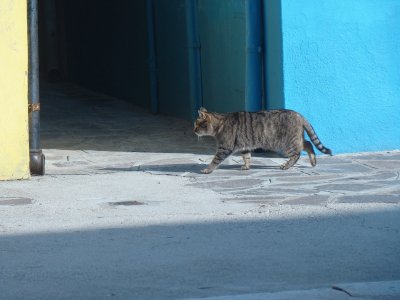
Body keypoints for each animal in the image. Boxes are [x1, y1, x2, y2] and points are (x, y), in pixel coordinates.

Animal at [194, 107, 332, 173]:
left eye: (197, 124)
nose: (193, 130)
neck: (220, 123)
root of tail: (300, 115)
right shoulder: (244, 146)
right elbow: (247, 157)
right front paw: (246, 166)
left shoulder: (224, 148)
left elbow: (215, 160)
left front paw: (208, 169)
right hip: (296, 139)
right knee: (308, 144)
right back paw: (313, 161)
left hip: (287, 143)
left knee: (297, 154)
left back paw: (286, 166)